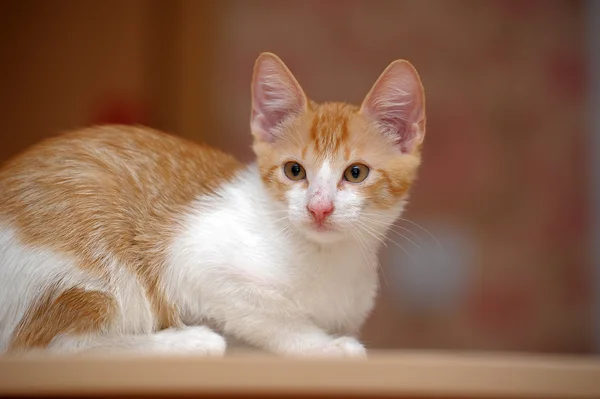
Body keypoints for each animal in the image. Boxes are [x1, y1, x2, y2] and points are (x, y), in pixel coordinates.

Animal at [0, 52, 426, 356]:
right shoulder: (193, 261)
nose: (319, 208)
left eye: (356, 173)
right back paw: (187, 342)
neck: (328, 258)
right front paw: (323, 345)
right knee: (47, 348)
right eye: (294, 171)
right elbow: (270, 315)